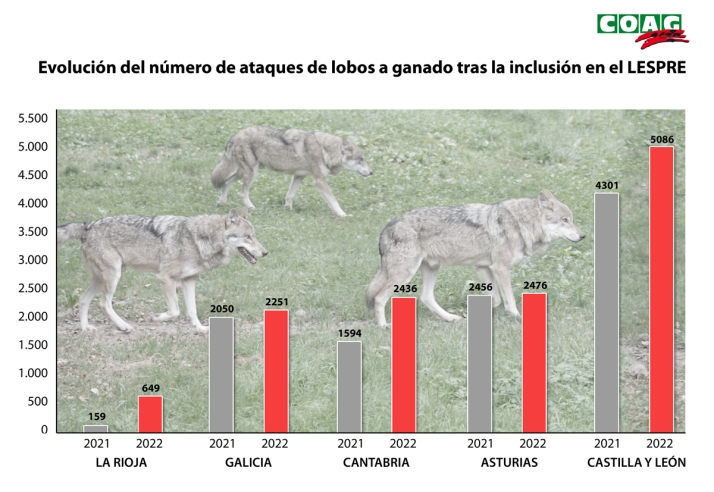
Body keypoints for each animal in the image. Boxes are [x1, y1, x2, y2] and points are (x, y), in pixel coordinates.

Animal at [57, 208, 267, 333]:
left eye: (255, 236)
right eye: (248, 237)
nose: (265, 252)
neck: (198, 240)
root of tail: (87, 226)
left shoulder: (189, 280)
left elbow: (192, 310)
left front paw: (200, 329)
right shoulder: (166, 278)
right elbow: (175, 311)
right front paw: (157, 318)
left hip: (100, 279)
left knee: (83, 300)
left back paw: (85, 328)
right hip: (113, 277)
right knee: (104, 303)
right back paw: (124, 326)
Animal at [211, 126, 373, 216]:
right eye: (360, 159)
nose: (371, 172)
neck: (325, 150)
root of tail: (234, 136)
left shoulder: (299, 176)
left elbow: (290, 196)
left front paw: (288, 210)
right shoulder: (319, 181)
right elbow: (334, 201)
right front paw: (342, 215)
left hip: (243, 172)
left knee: (225, 182)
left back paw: (221, 202)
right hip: (251, 173)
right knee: (241, 192)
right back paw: (251, 208)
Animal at [366, 191, 585, 327]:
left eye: (572, 220)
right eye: (565, 220)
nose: (583, 236)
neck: (519, 223)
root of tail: (387, 227)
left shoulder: (483, 267)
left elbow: (496, 299)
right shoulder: (500, 268)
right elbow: (509, 300)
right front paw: (516, 316)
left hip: (431, 269)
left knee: (426, 297)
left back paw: (451, 318)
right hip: (404, 275)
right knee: (378, 298)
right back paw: (384, 326)